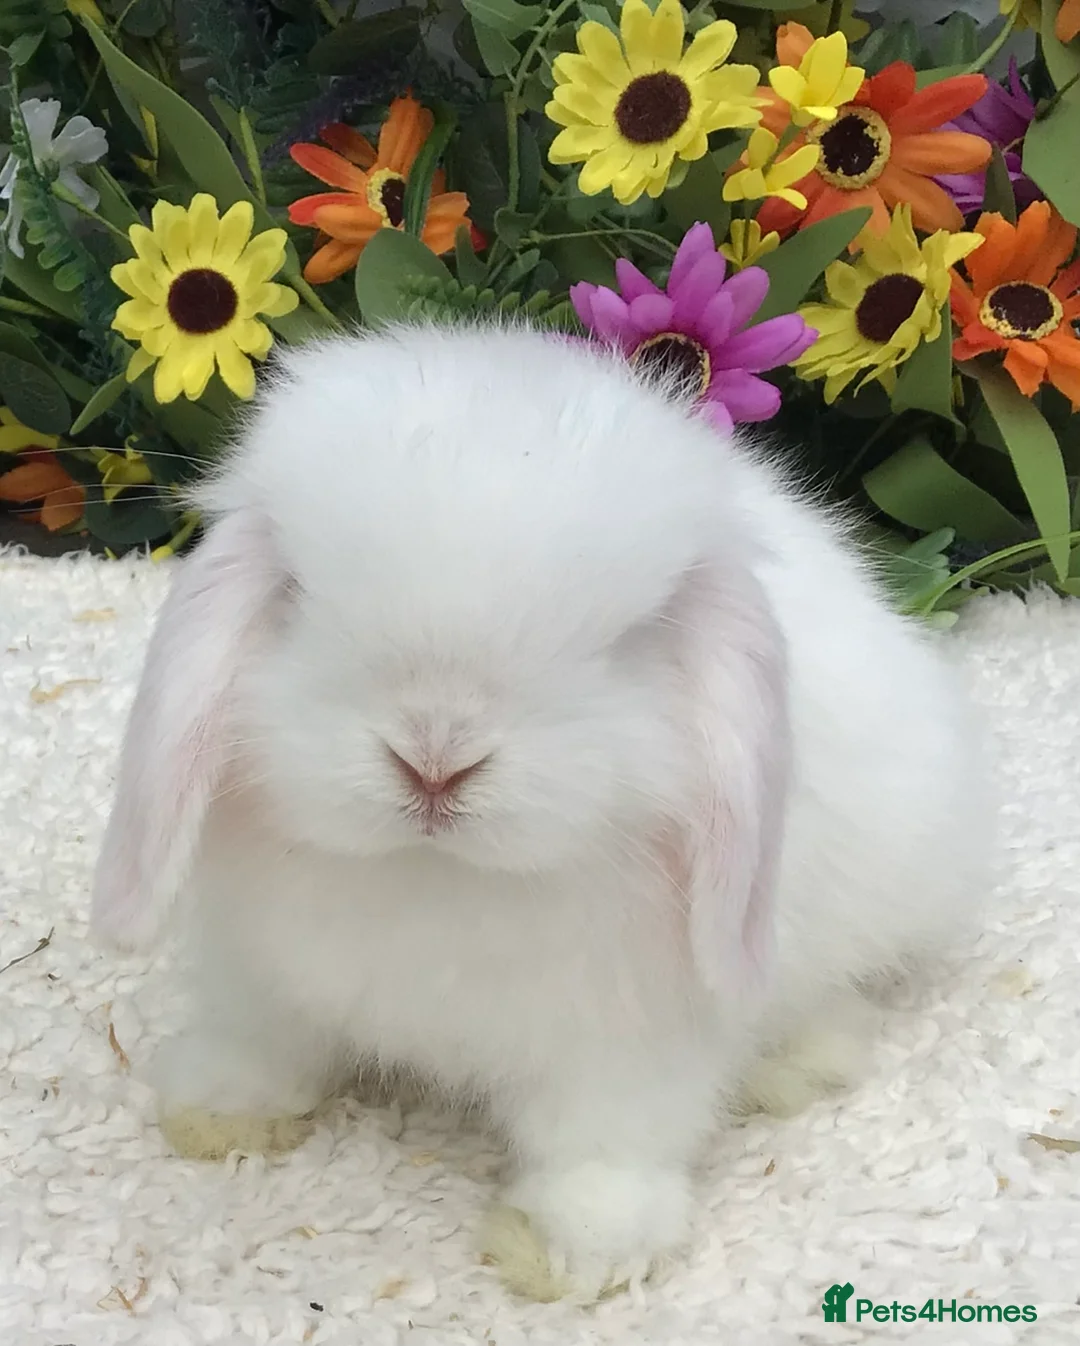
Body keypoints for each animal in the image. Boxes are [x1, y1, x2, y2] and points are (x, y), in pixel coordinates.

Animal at [92, 322, 989, 1301]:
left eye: (626, 643)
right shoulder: (258, 973)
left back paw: (798, 1061)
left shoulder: (634, 1041)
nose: (435, 761)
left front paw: (573, 1249)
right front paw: (217, 1112)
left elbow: (608, 1140)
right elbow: (260, 1041)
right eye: (295, 594)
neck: (434, 876)